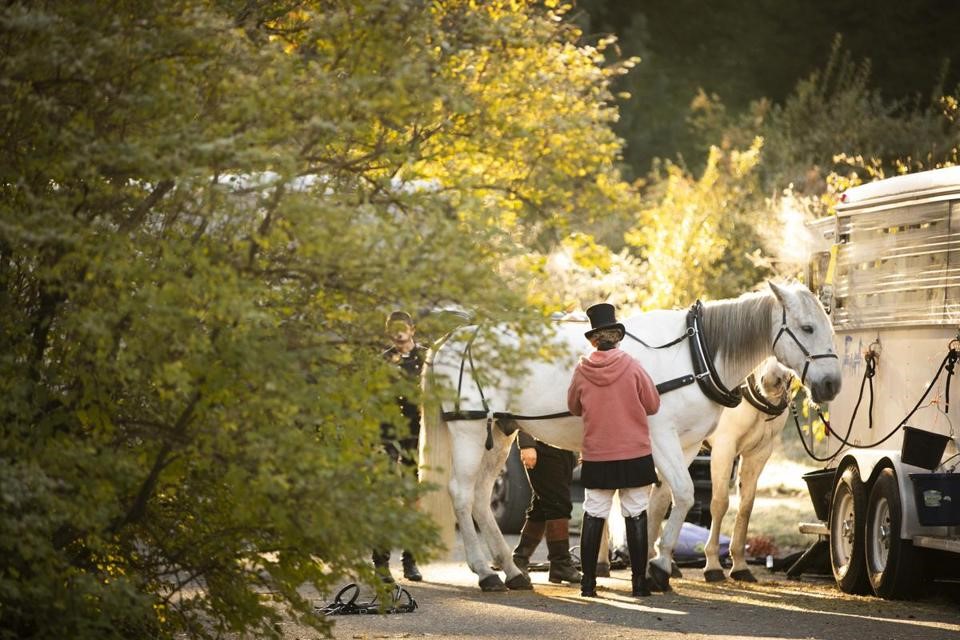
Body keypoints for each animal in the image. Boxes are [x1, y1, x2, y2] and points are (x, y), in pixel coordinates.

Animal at [700, 358, 792, 584]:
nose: (771, 380)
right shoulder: (724, 447)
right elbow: (720, 504)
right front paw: (712, 565)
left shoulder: (759, 453)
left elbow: (746, 507)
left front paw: (740, 566)